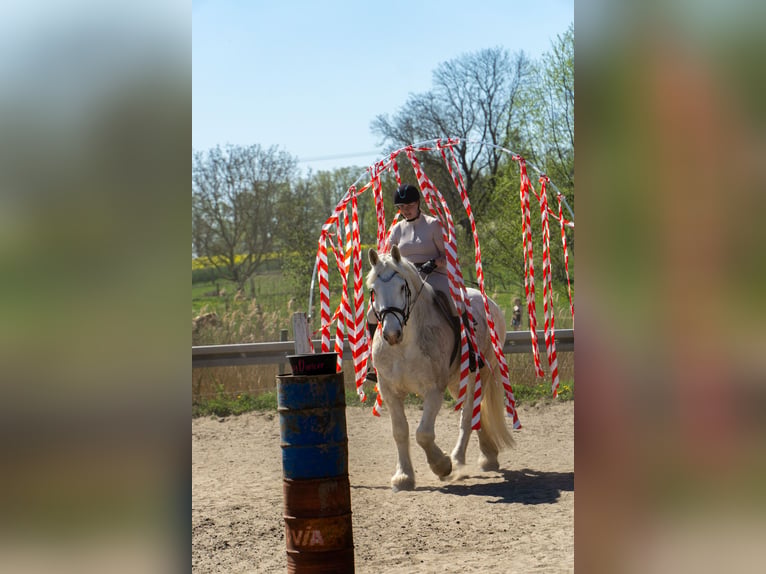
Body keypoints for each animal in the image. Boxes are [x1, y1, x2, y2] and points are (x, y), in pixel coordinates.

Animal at [366, 245, 515, 492]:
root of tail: (488, 301)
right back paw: (488, 455)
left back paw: (459, 459)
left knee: (468, 416)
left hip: (481, 375)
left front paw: (442, 465)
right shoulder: (389, 391)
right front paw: (403, 476)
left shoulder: (433, 390)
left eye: (402, 287)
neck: (404, 345)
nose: (391, 334)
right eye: (373, 290)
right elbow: (400, 431)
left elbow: (423, 434)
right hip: (457, 382)